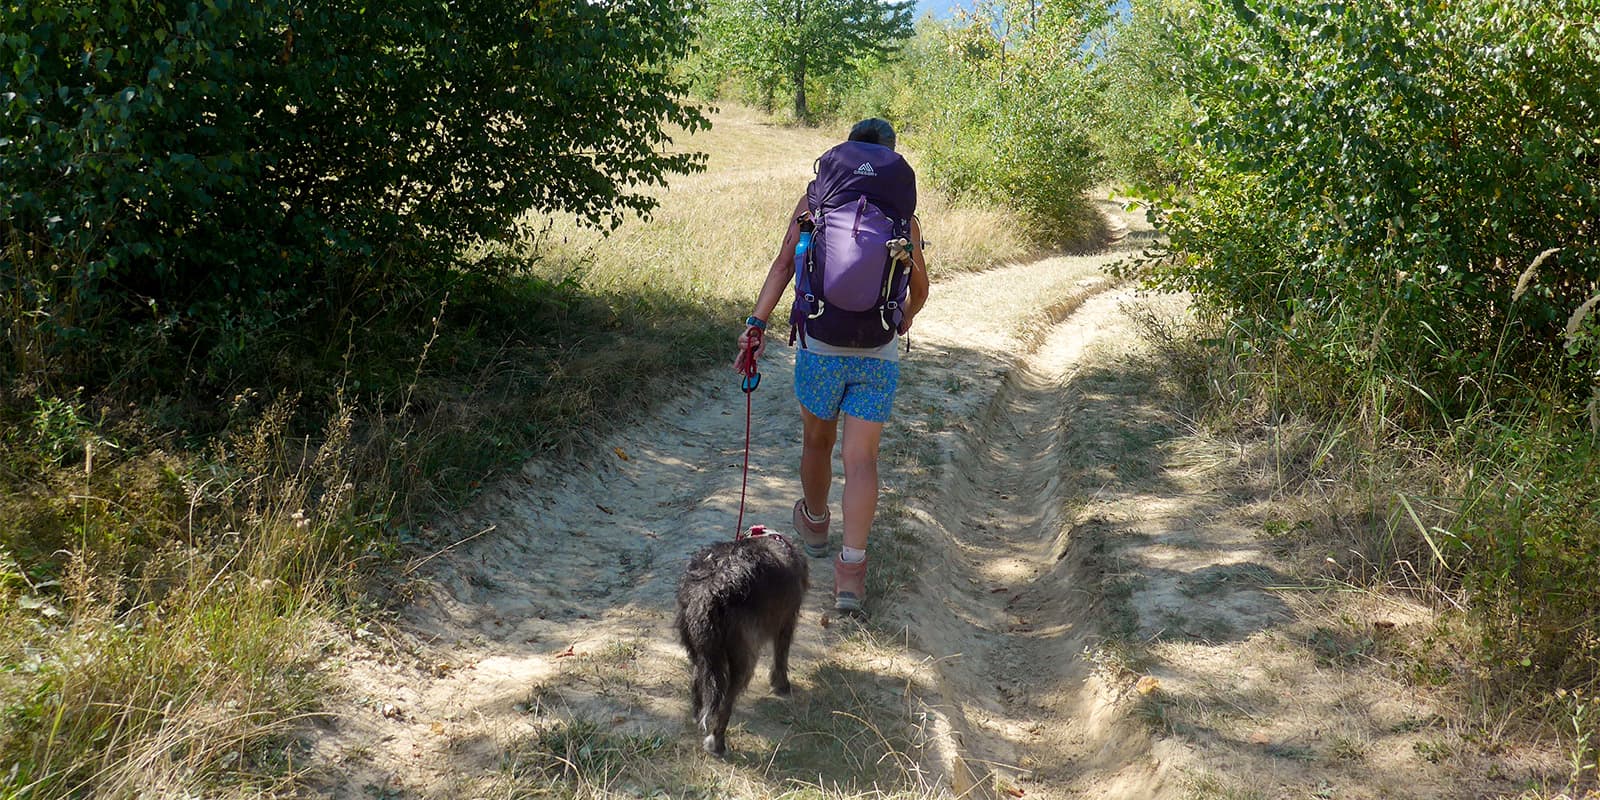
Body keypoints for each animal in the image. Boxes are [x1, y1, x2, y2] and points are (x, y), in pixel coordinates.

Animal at [668, 531, 806, 755]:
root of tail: (709, 591)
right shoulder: (786, 622)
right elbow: (781, 657)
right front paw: (782, 685)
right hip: (744, 658)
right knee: (725, 704)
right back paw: (717, 743)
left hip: (699, 650)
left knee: (697, 679)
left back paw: (697, 715)